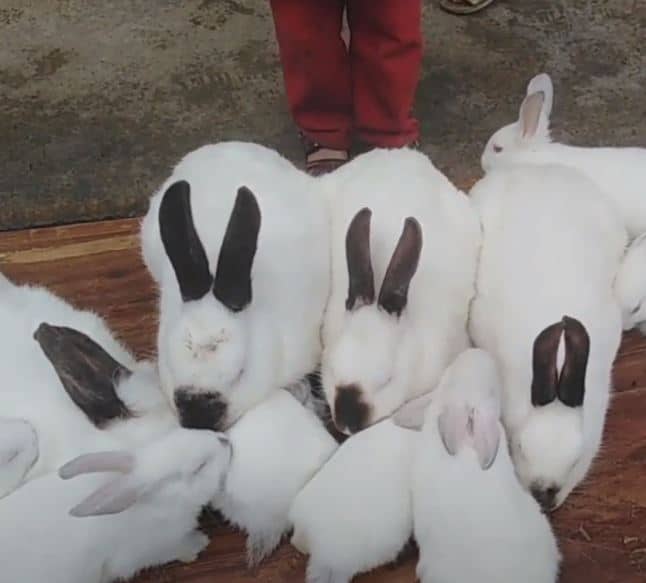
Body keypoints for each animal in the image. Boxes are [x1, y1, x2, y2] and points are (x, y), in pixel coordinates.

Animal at [0, 426, 232, 583]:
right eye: (199, 467)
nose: (225, 440)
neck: (165, 501)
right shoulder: (149, 551)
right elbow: (176, 549)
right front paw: (198, 544)